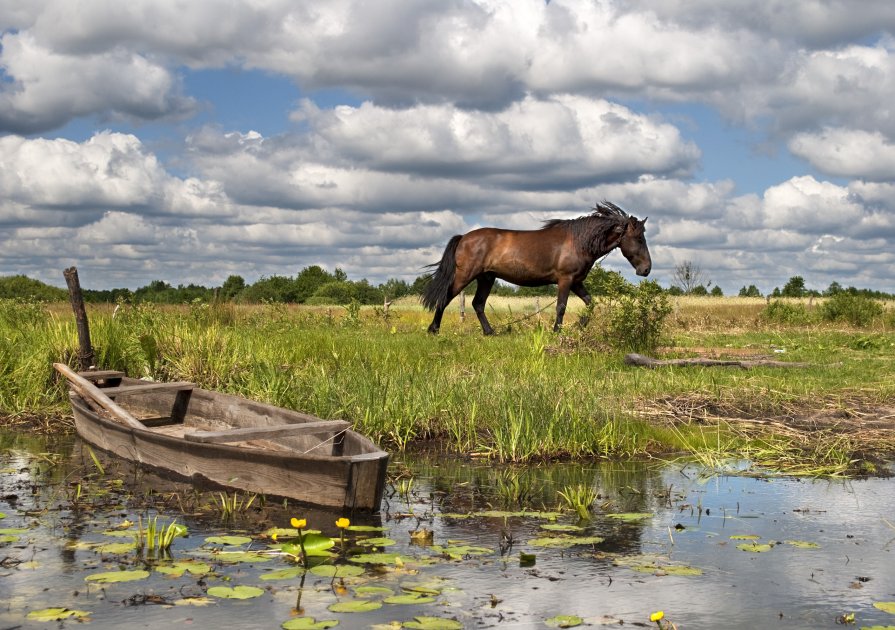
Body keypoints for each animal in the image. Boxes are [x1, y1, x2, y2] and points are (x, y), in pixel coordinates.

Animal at [420, 202, 652, 336]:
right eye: (639, 239)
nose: (646, 269)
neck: (578, 242)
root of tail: (464, 237)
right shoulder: (565, 280)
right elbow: (561, 307)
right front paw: (557, 332)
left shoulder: (576, 282)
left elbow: (590, 303)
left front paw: (579, 326)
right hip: (465, 275)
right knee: (445, 298)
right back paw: (434, 329)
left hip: (486, 278)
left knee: (478, 304)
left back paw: (490, 332)